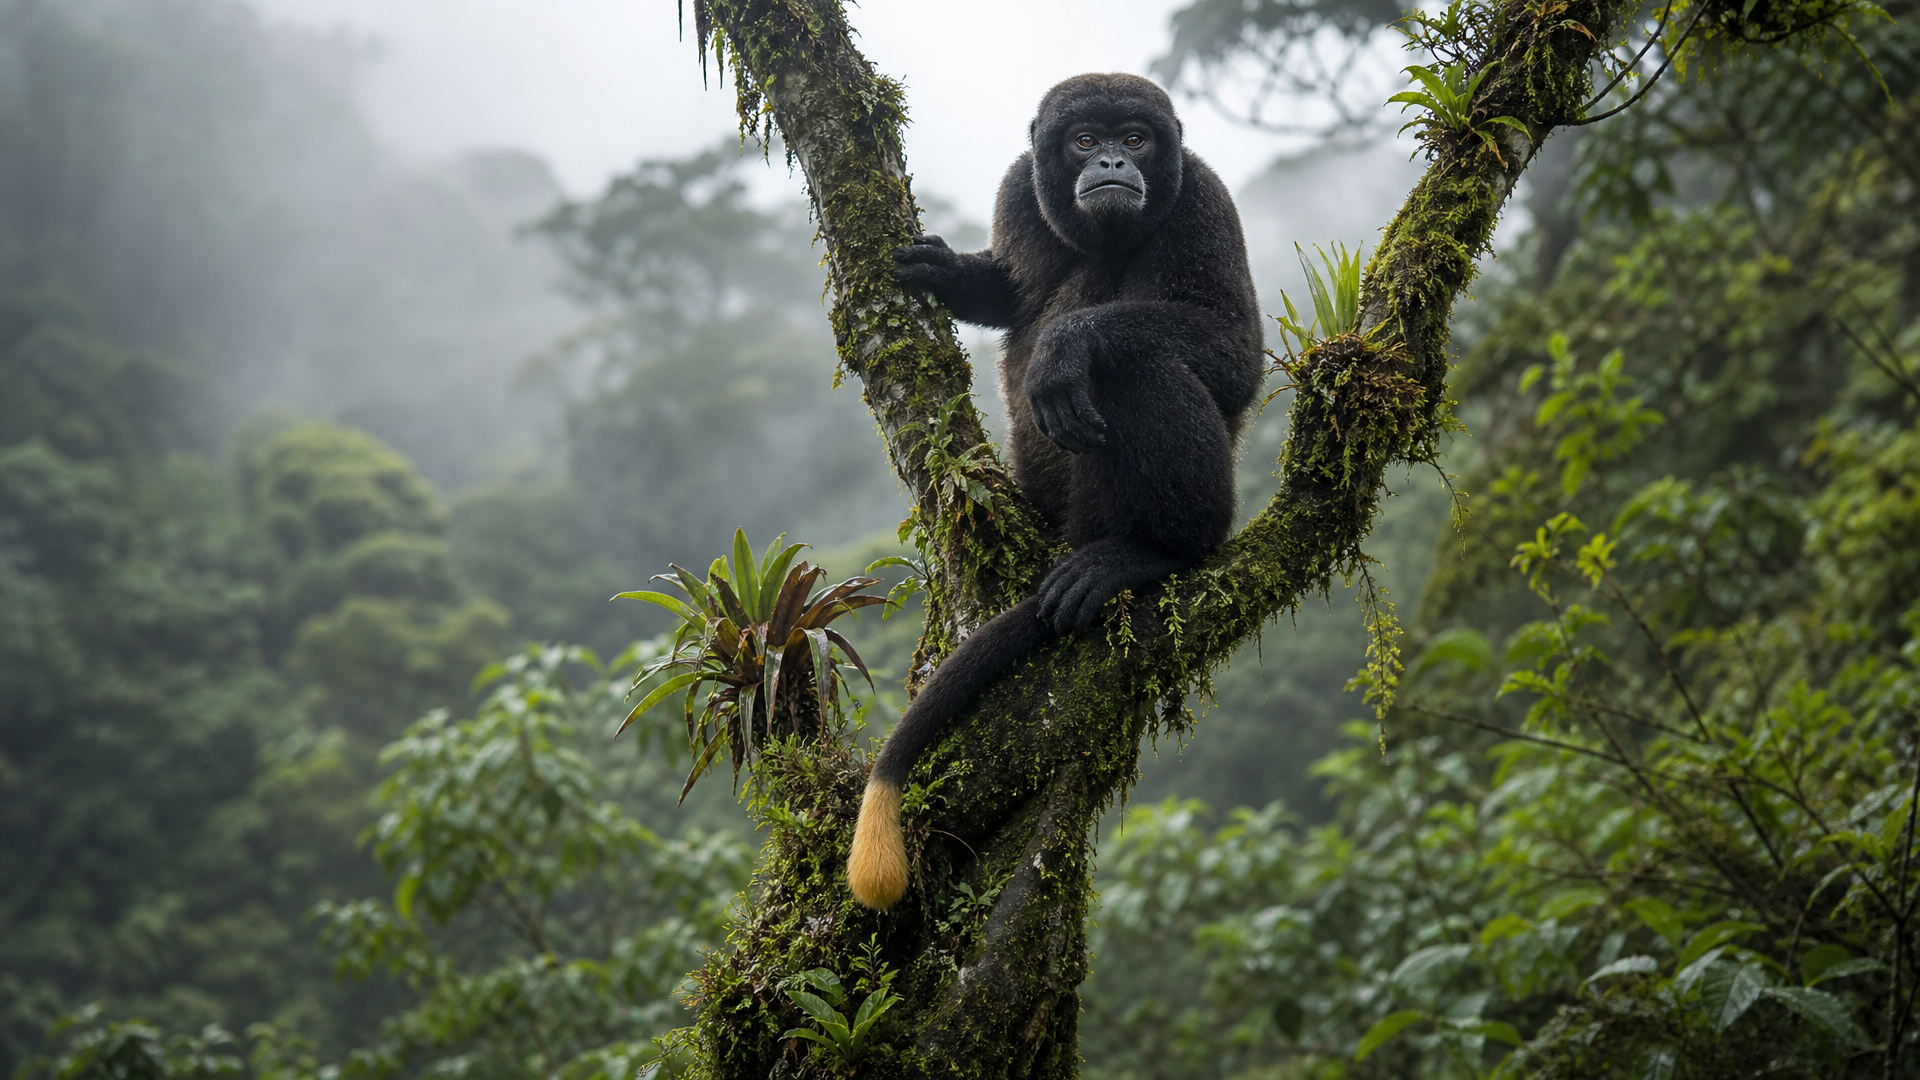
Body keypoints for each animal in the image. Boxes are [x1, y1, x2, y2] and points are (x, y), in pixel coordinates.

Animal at [847, 73, 1264, 910]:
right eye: (1082, 140)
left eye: (1136, 138)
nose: (1109, 160)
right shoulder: (1019, 187)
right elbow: (1012, 295)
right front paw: (951, 273)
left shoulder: (1205, 198)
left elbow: (1237, 355)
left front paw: (1068, 347)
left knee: (1138, 368)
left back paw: (1150, 552)